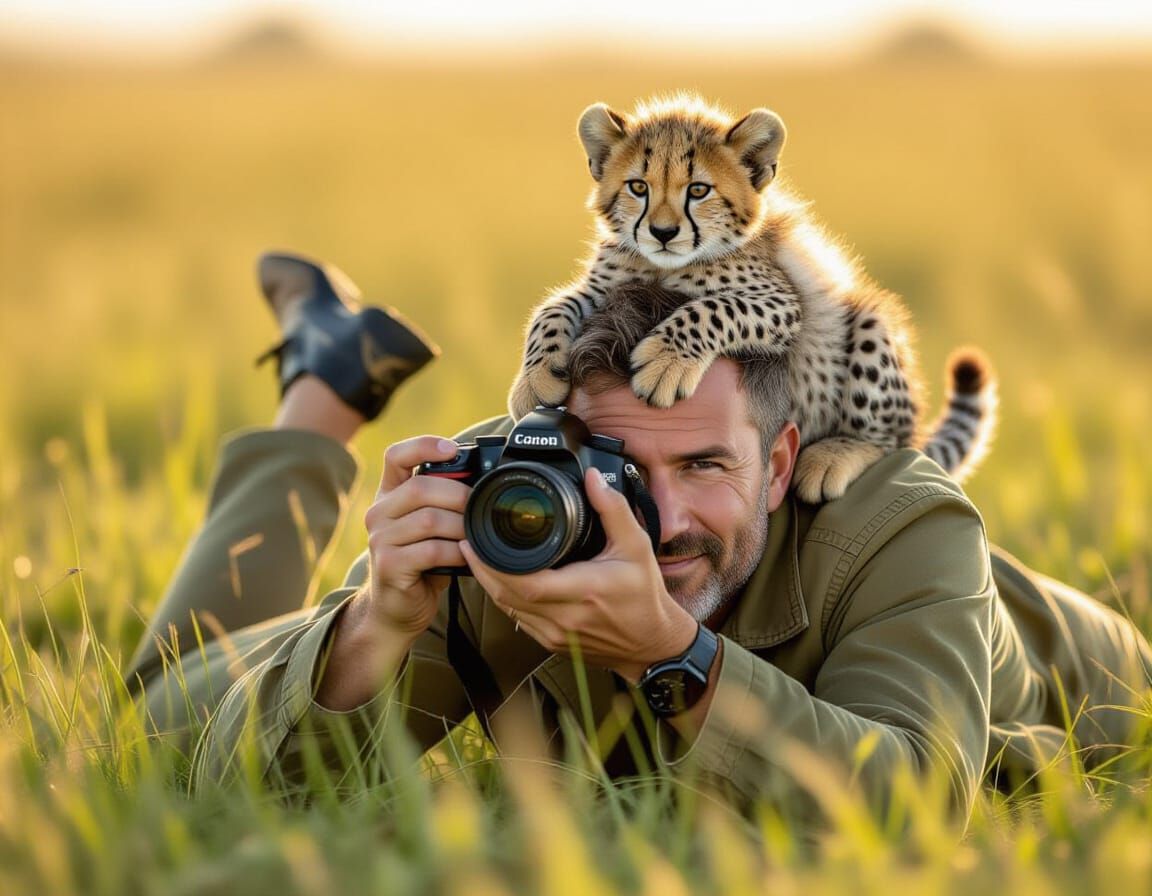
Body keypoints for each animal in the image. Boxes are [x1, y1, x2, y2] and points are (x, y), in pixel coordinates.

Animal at [508, 94, 997, 502]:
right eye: (638, 187)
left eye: (698, 190)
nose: (662, 232)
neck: (662, 267)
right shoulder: (602, 289)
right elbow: (551, 310)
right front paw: (535, 378)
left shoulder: (782, 302)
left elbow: (712, 308)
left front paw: (665, 361)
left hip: (868, 321)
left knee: (892, 437)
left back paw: (833, 456)